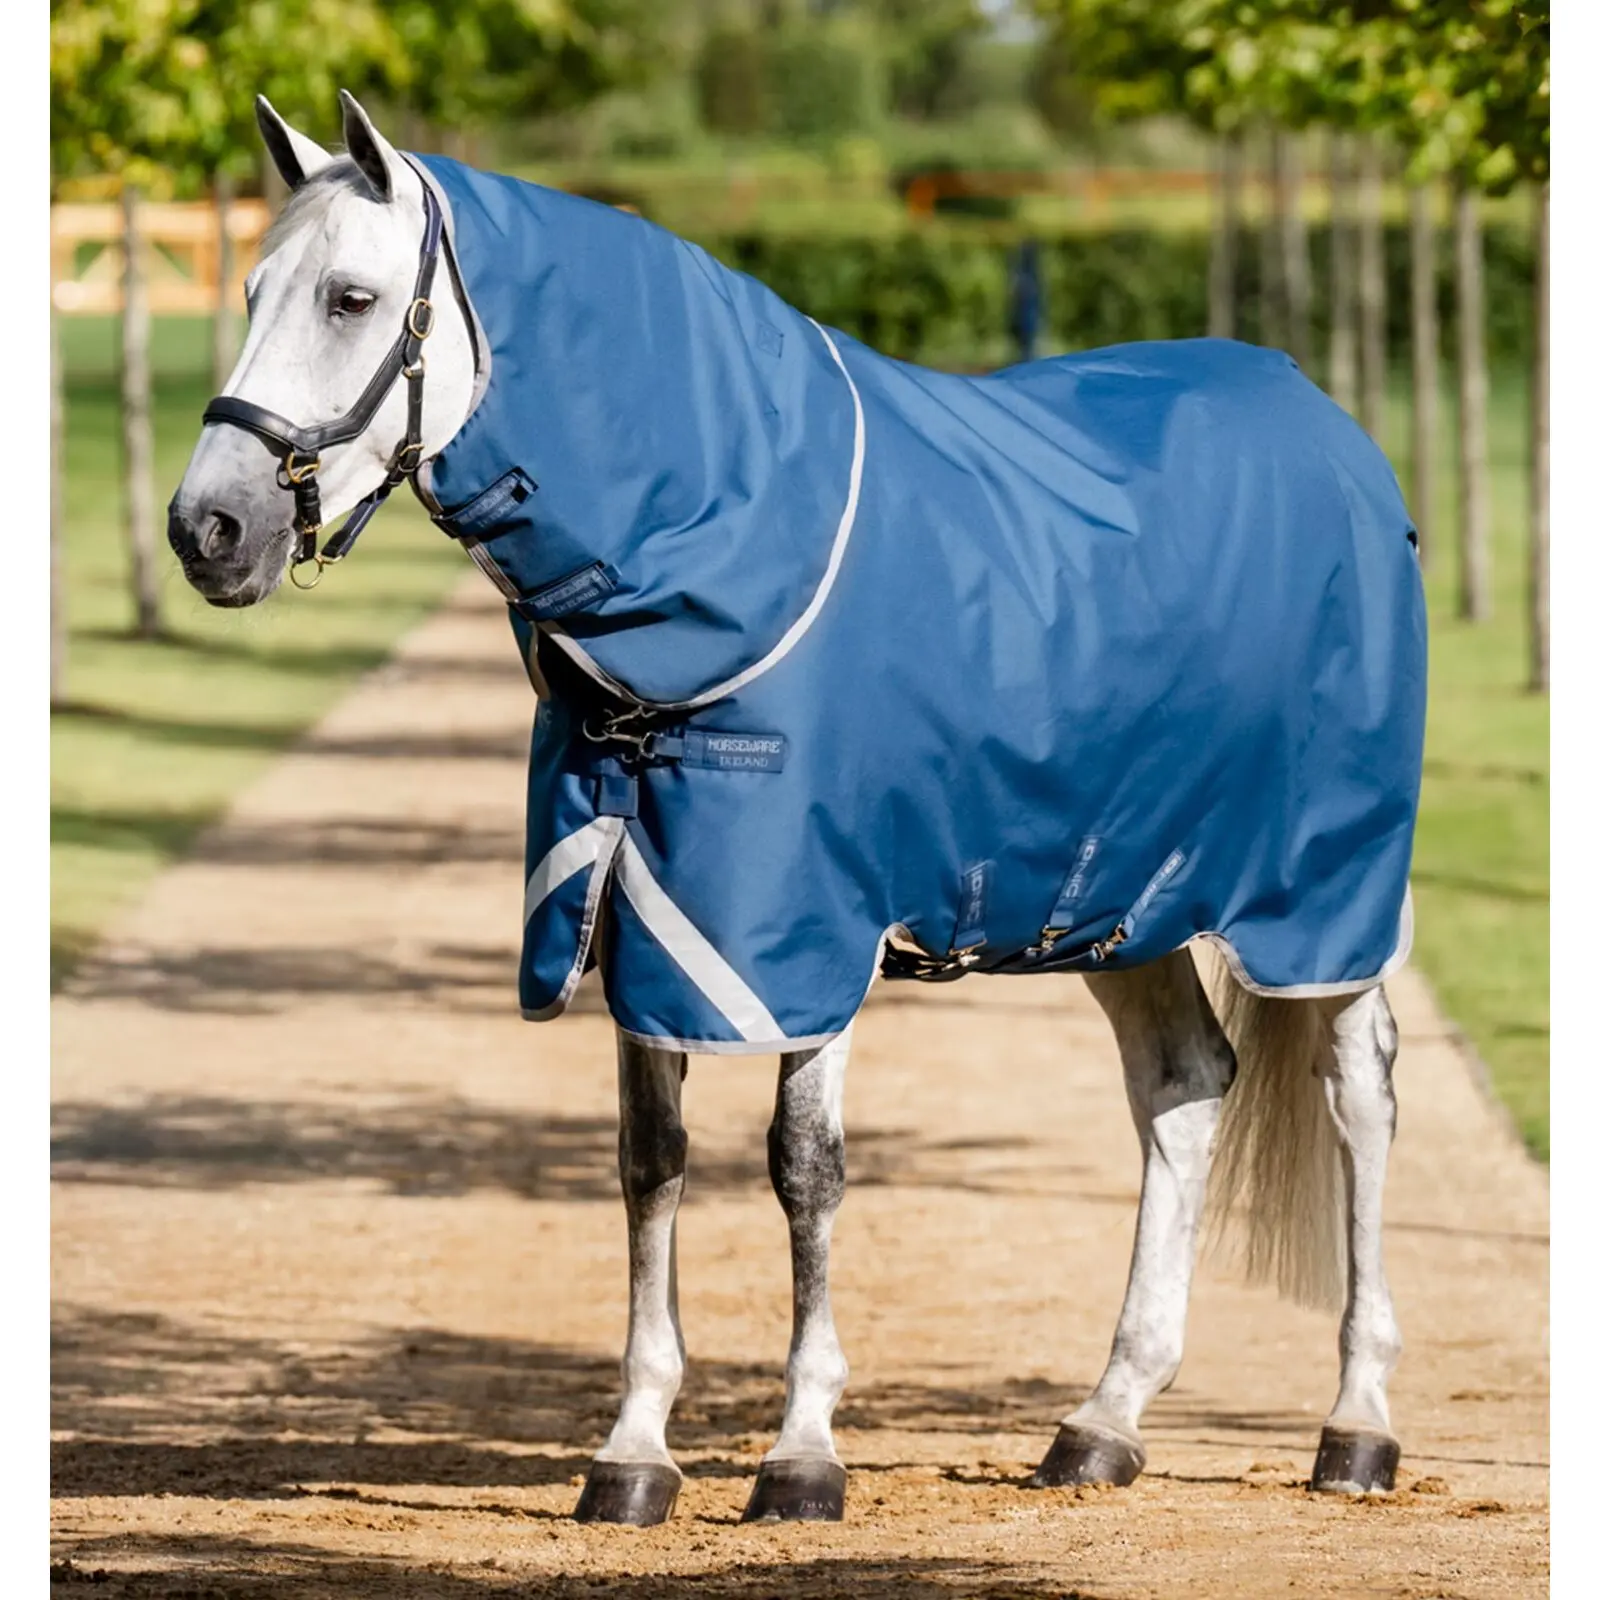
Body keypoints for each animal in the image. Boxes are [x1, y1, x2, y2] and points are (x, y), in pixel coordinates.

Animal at [168, 91, 1426, 1527]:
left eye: (351, 297)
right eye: (249, 289)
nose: (207, 529)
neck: (723, 551)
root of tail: (1331, 429)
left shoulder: (808, 930)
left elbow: (802, 1166)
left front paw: (803, 1451)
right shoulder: (634, 905)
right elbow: (650, 1157)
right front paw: (634, 1450)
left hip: (1321, 895)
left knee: (1359, 1095)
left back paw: (1356, 1426)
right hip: (1122, 890)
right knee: (1184, 1085)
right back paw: (1102, 1421)